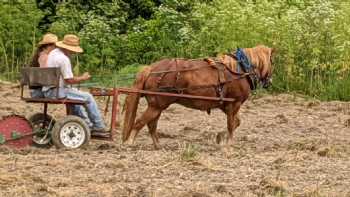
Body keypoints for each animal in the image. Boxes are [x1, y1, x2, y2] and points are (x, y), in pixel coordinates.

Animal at [122, 45, 274, 149]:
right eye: (272, 62)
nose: (270, 82)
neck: (240, 69)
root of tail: (151, 69)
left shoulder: (226, 105)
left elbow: (236, 122)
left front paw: (220, 137)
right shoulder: (234, 103)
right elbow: (231, 125)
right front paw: (228, 143)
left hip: (157, 107)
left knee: (151, 125)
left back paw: (157, 145)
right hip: (157, 106)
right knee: (141, 122)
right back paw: (129, 143)